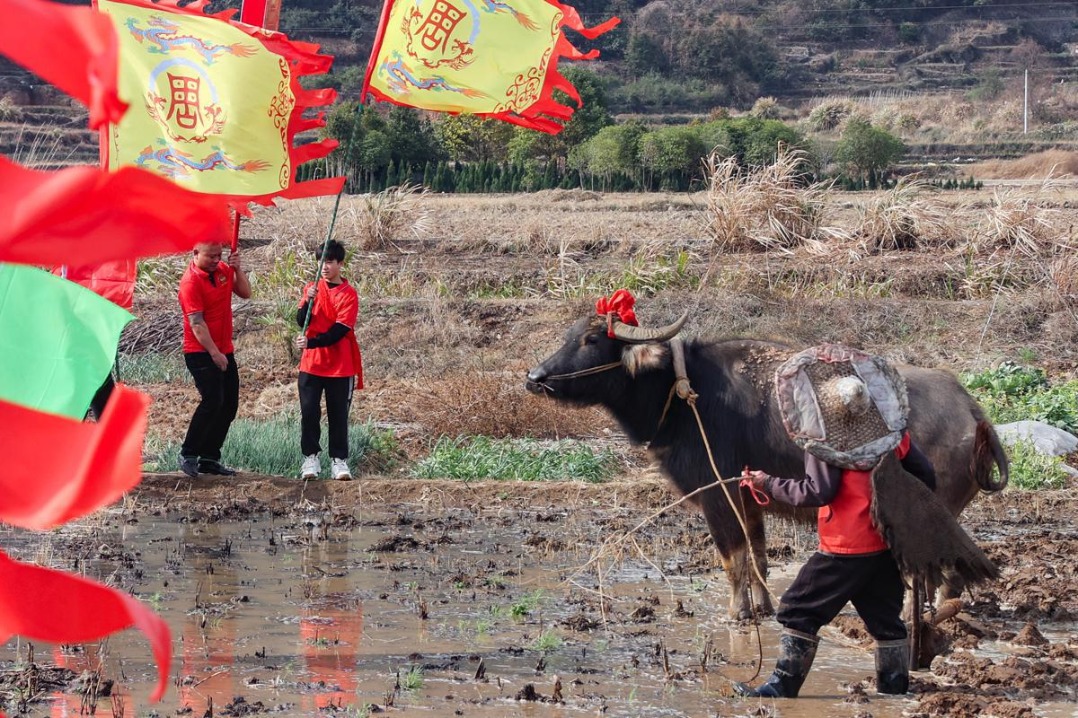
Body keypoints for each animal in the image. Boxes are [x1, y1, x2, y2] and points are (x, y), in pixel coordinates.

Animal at [526, 310, 1004, 616]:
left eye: (591, 340)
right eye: (569, 335)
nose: (535, 378)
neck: (682, 396)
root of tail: (972, 410)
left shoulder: (718, 496)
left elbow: (732, 558)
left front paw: (738, 614)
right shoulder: (748, 496)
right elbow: (757, 555)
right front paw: (763, 606)